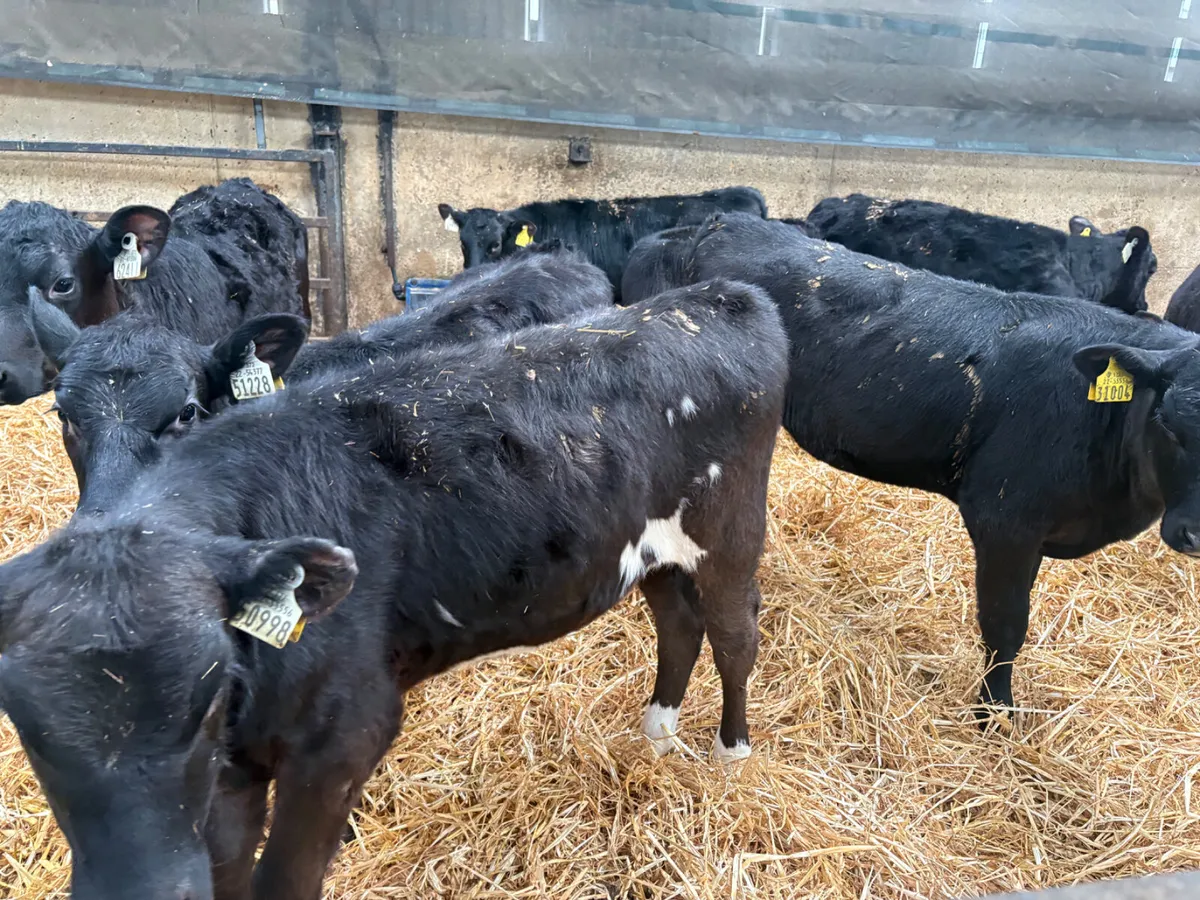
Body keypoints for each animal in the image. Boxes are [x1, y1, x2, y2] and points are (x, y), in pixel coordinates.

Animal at [0, 278, 788, 899]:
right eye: (63, 414)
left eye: (188, 410)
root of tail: (715, 296)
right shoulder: (229, 779)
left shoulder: (347, 734)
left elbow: (284, 879)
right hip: (650, 550)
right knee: (678, 624)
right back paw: (657, 734)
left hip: (731, 528)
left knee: (735, 633)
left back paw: (732, 755)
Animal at [684, 211, 1200, 720]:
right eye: (1167, 422)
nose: (1195, 532)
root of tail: (727, 221)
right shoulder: (1004, 519)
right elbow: (1005, 624)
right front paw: (994, 714)